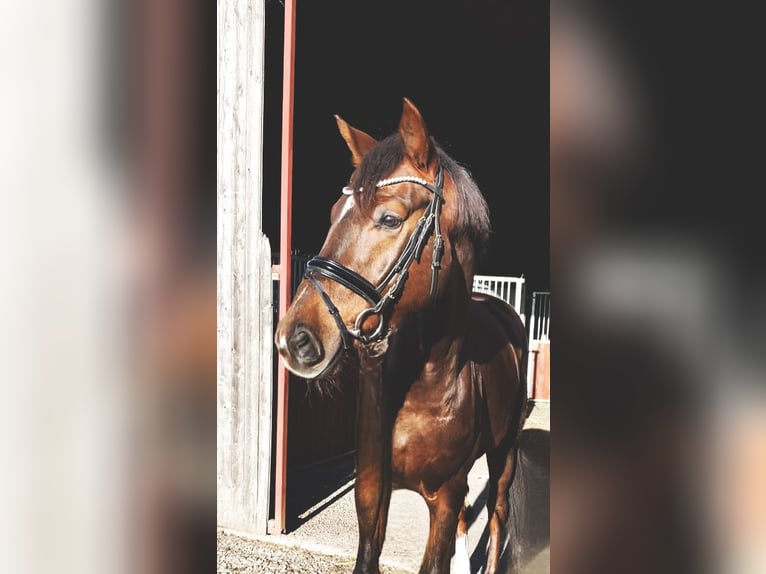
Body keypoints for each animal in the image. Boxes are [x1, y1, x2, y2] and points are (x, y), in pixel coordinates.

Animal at [275, 98, 528, 574]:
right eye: (334, 216)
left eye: (389, 218)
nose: (294, 341)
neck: (426, 385)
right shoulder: (373, 488)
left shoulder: (445, 493)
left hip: (504, 454)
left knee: (497, 513)